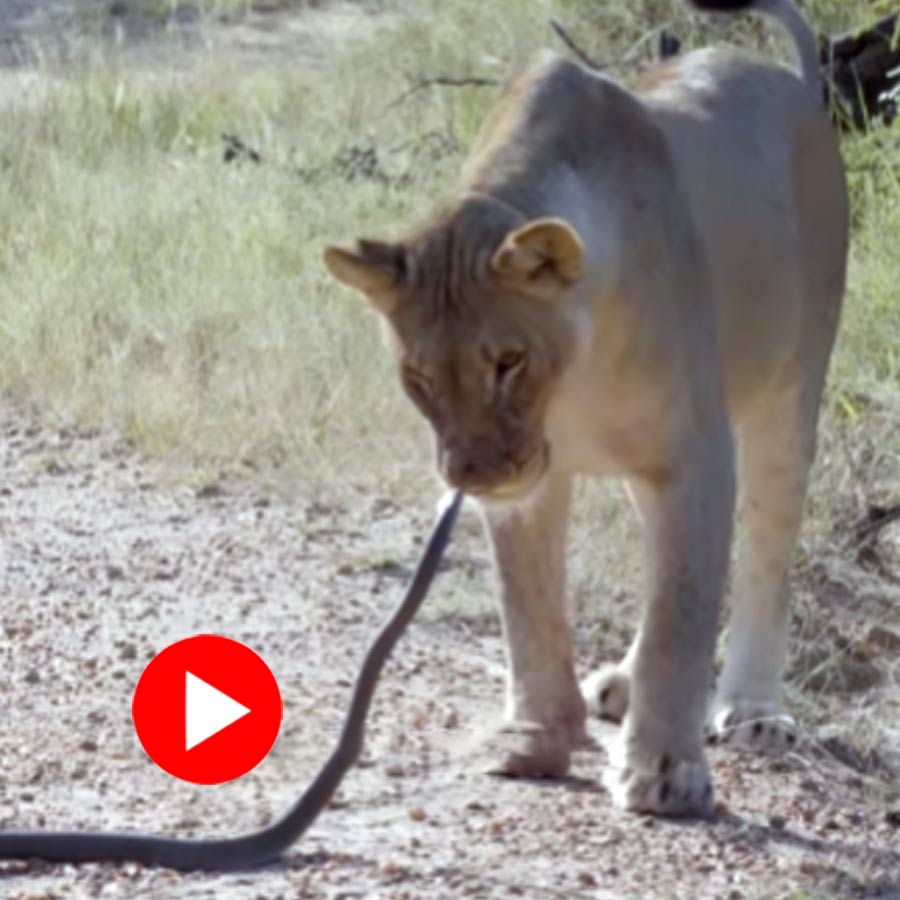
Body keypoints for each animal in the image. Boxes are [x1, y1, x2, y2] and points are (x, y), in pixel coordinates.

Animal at [323, 0, 848, 816]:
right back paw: (620, 685)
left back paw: (753, 711)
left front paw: (665, 772)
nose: (472, 474)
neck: (571, 379)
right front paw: (534, 738)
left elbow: (679, 613)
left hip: (788, 394)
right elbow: (531, 609)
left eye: (507, 361)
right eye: (418, 377)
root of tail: (789, 80)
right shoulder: (543, 484)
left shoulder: (693, 453)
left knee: (766, 549)